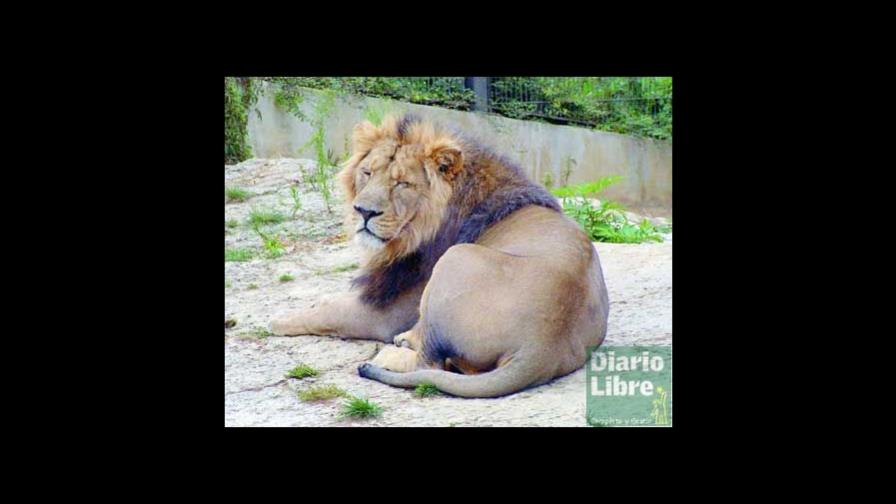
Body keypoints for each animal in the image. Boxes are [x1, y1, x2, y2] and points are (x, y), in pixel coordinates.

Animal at [271, 113, 609, 398]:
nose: (363, 211)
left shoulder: (386, 313)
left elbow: (325, 314)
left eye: (402, 183)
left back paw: (393, 349)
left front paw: (276, 320)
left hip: (455, 259)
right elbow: (328, 303)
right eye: (367, 173)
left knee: (428, 363)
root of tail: (541, 347)